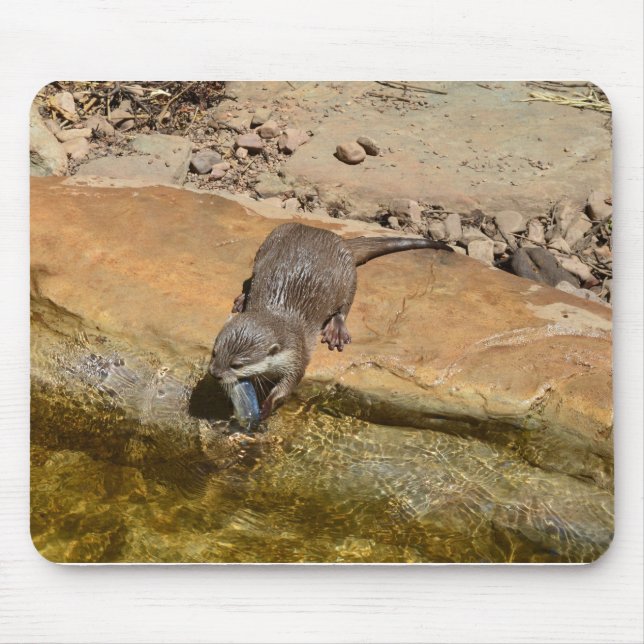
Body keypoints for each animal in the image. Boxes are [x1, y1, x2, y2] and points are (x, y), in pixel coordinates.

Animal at [209, 222, 452, 420]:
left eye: (236, 364)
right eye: (214, 353)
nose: (214, 373)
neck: (277, 313)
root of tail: (336, 238)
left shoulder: (297, 354)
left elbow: (289, 385)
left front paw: (267, 406)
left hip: (348, 275)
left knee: (345, 305)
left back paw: (336, 329)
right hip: (269, 242)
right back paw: (243, 298)